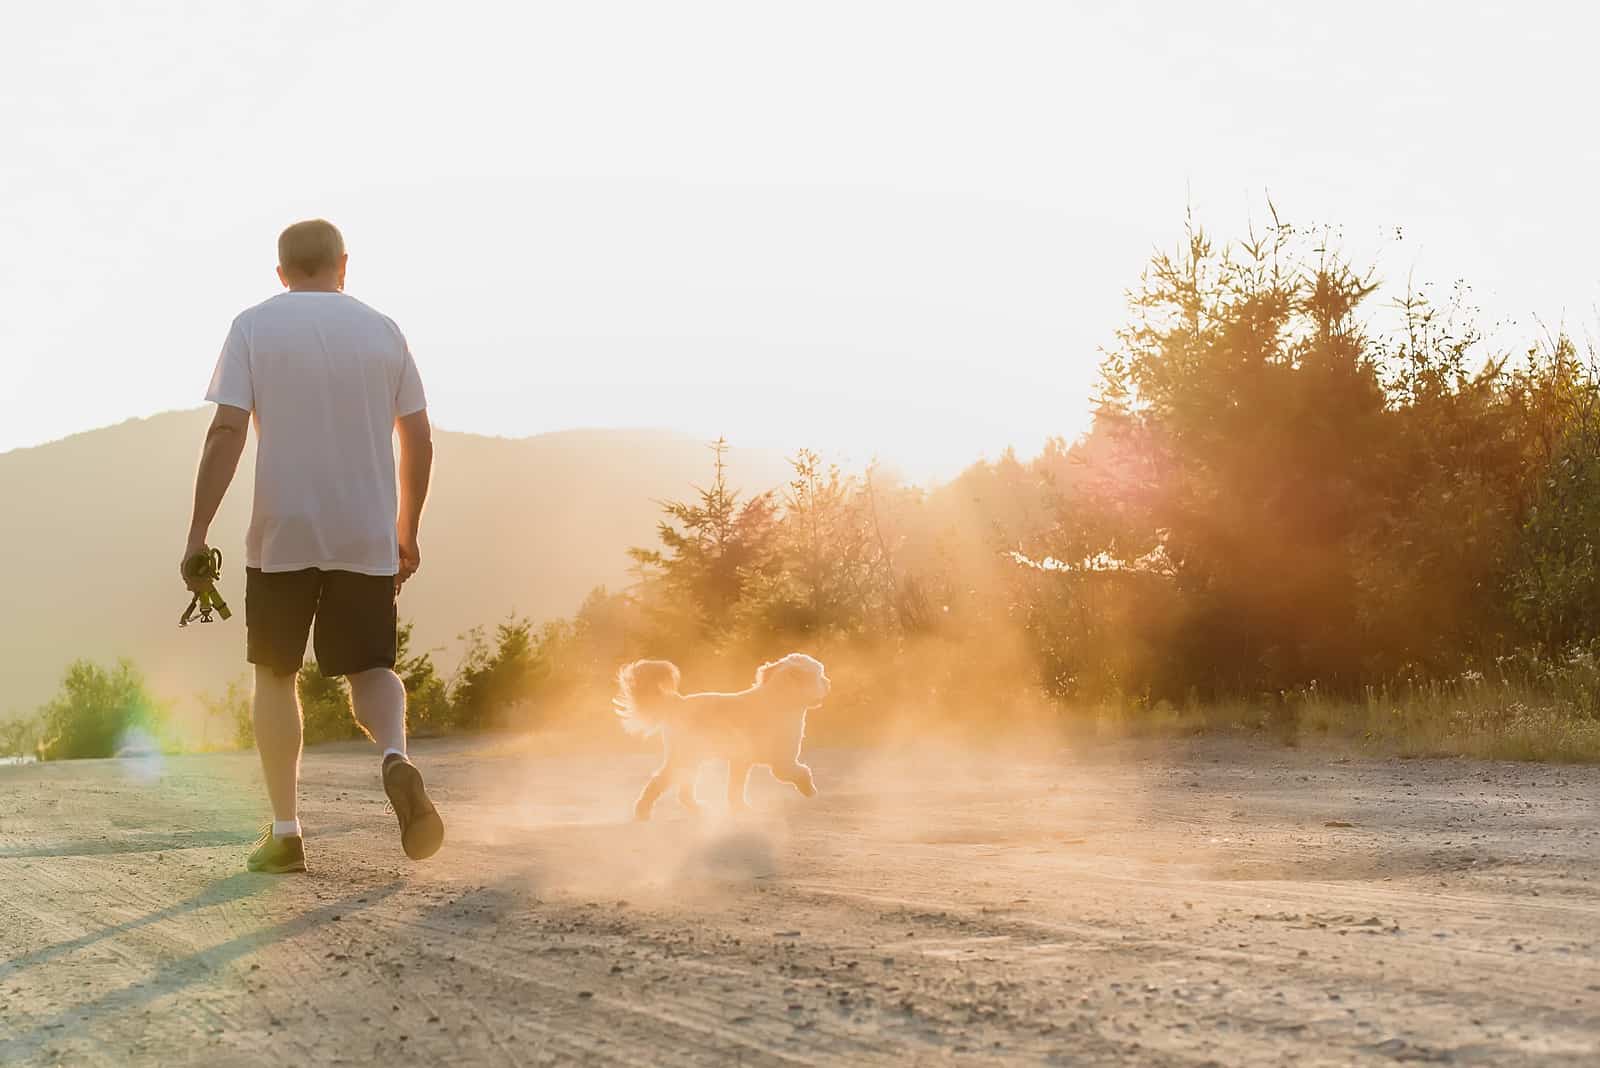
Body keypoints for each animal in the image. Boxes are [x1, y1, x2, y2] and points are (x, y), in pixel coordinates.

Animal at [611, 652, 832, 818]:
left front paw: (740, 808)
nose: (828, 683)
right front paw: (809, 788)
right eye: (819, 674)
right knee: (659, 781)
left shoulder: (741, 761)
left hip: (693, 759)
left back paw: (695, 807)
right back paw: (643, 811)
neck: (779, 702)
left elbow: (735, 789)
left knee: (683, 790)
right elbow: (797, 772)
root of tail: (678, 703)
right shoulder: (781, 760)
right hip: (684, 756)